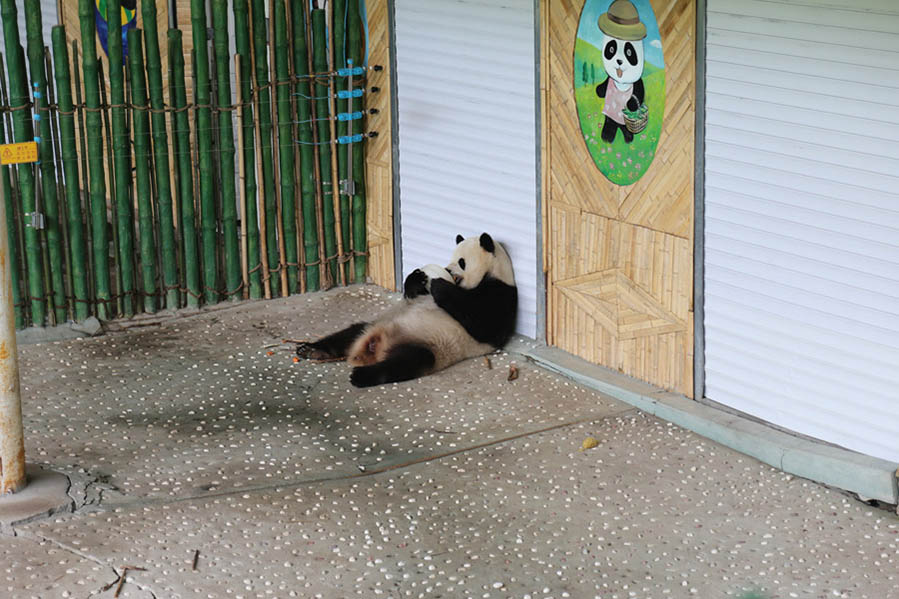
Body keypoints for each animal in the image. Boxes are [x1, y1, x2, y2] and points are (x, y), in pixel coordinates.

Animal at [298, 232, 516, 386]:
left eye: (462, 262)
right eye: (451, 257)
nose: (448, 270)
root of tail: (374, 346)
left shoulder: (502, 295)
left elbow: (483, 325)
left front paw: (439, 284)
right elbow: (413, 294)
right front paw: (418, 277)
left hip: (429, 345)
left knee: (406, 362)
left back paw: (360, 376)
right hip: (373, 324)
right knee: (348, 333)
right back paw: (311, 350)